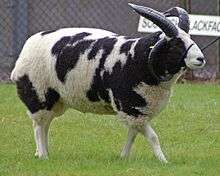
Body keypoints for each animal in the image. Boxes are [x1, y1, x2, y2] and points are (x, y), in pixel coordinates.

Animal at [10, 3, 206, 162]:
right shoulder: (130, 106)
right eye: (176, 44)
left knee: (45, 125)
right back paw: (43, 155)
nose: (201, 59)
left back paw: (42, 153)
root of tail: (27, 46)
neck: (139, 58)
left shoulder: (136, 111)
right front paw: (164, 161)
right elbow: (153, 137)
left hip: (56, 100)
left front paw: (123, 158)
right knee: (39, 126)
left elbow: (132, 134)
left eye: (190, 38)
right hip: (39, 95)